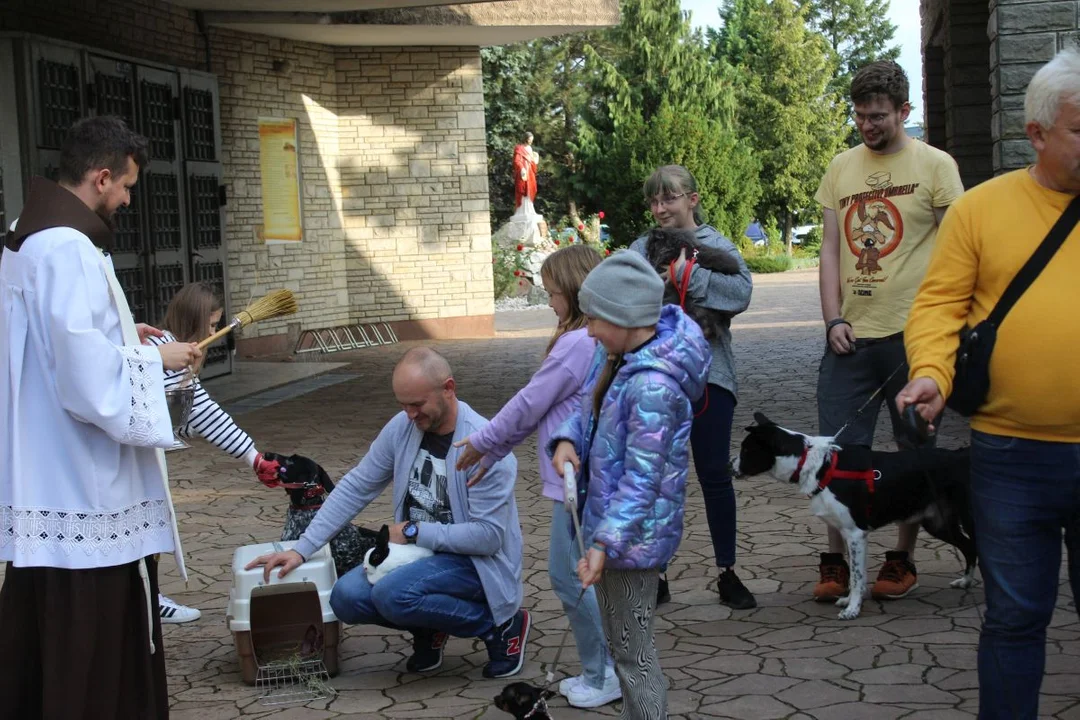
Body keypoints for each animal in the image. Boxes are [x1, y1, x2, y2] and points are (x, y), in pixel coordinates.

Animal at [734, 414, 980, 621]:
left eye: (746, 450)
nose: (729, 466)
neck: (817, 465)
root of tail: (961, 455)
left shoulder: (855, 534)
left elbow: (857, 576)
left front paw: (852, 610)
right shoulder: (850, 534)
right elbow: (855, 576)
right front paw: (850, 601)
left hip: (968, 519)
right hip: (938, 523)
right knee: (970, 547)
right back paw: (965, 582)